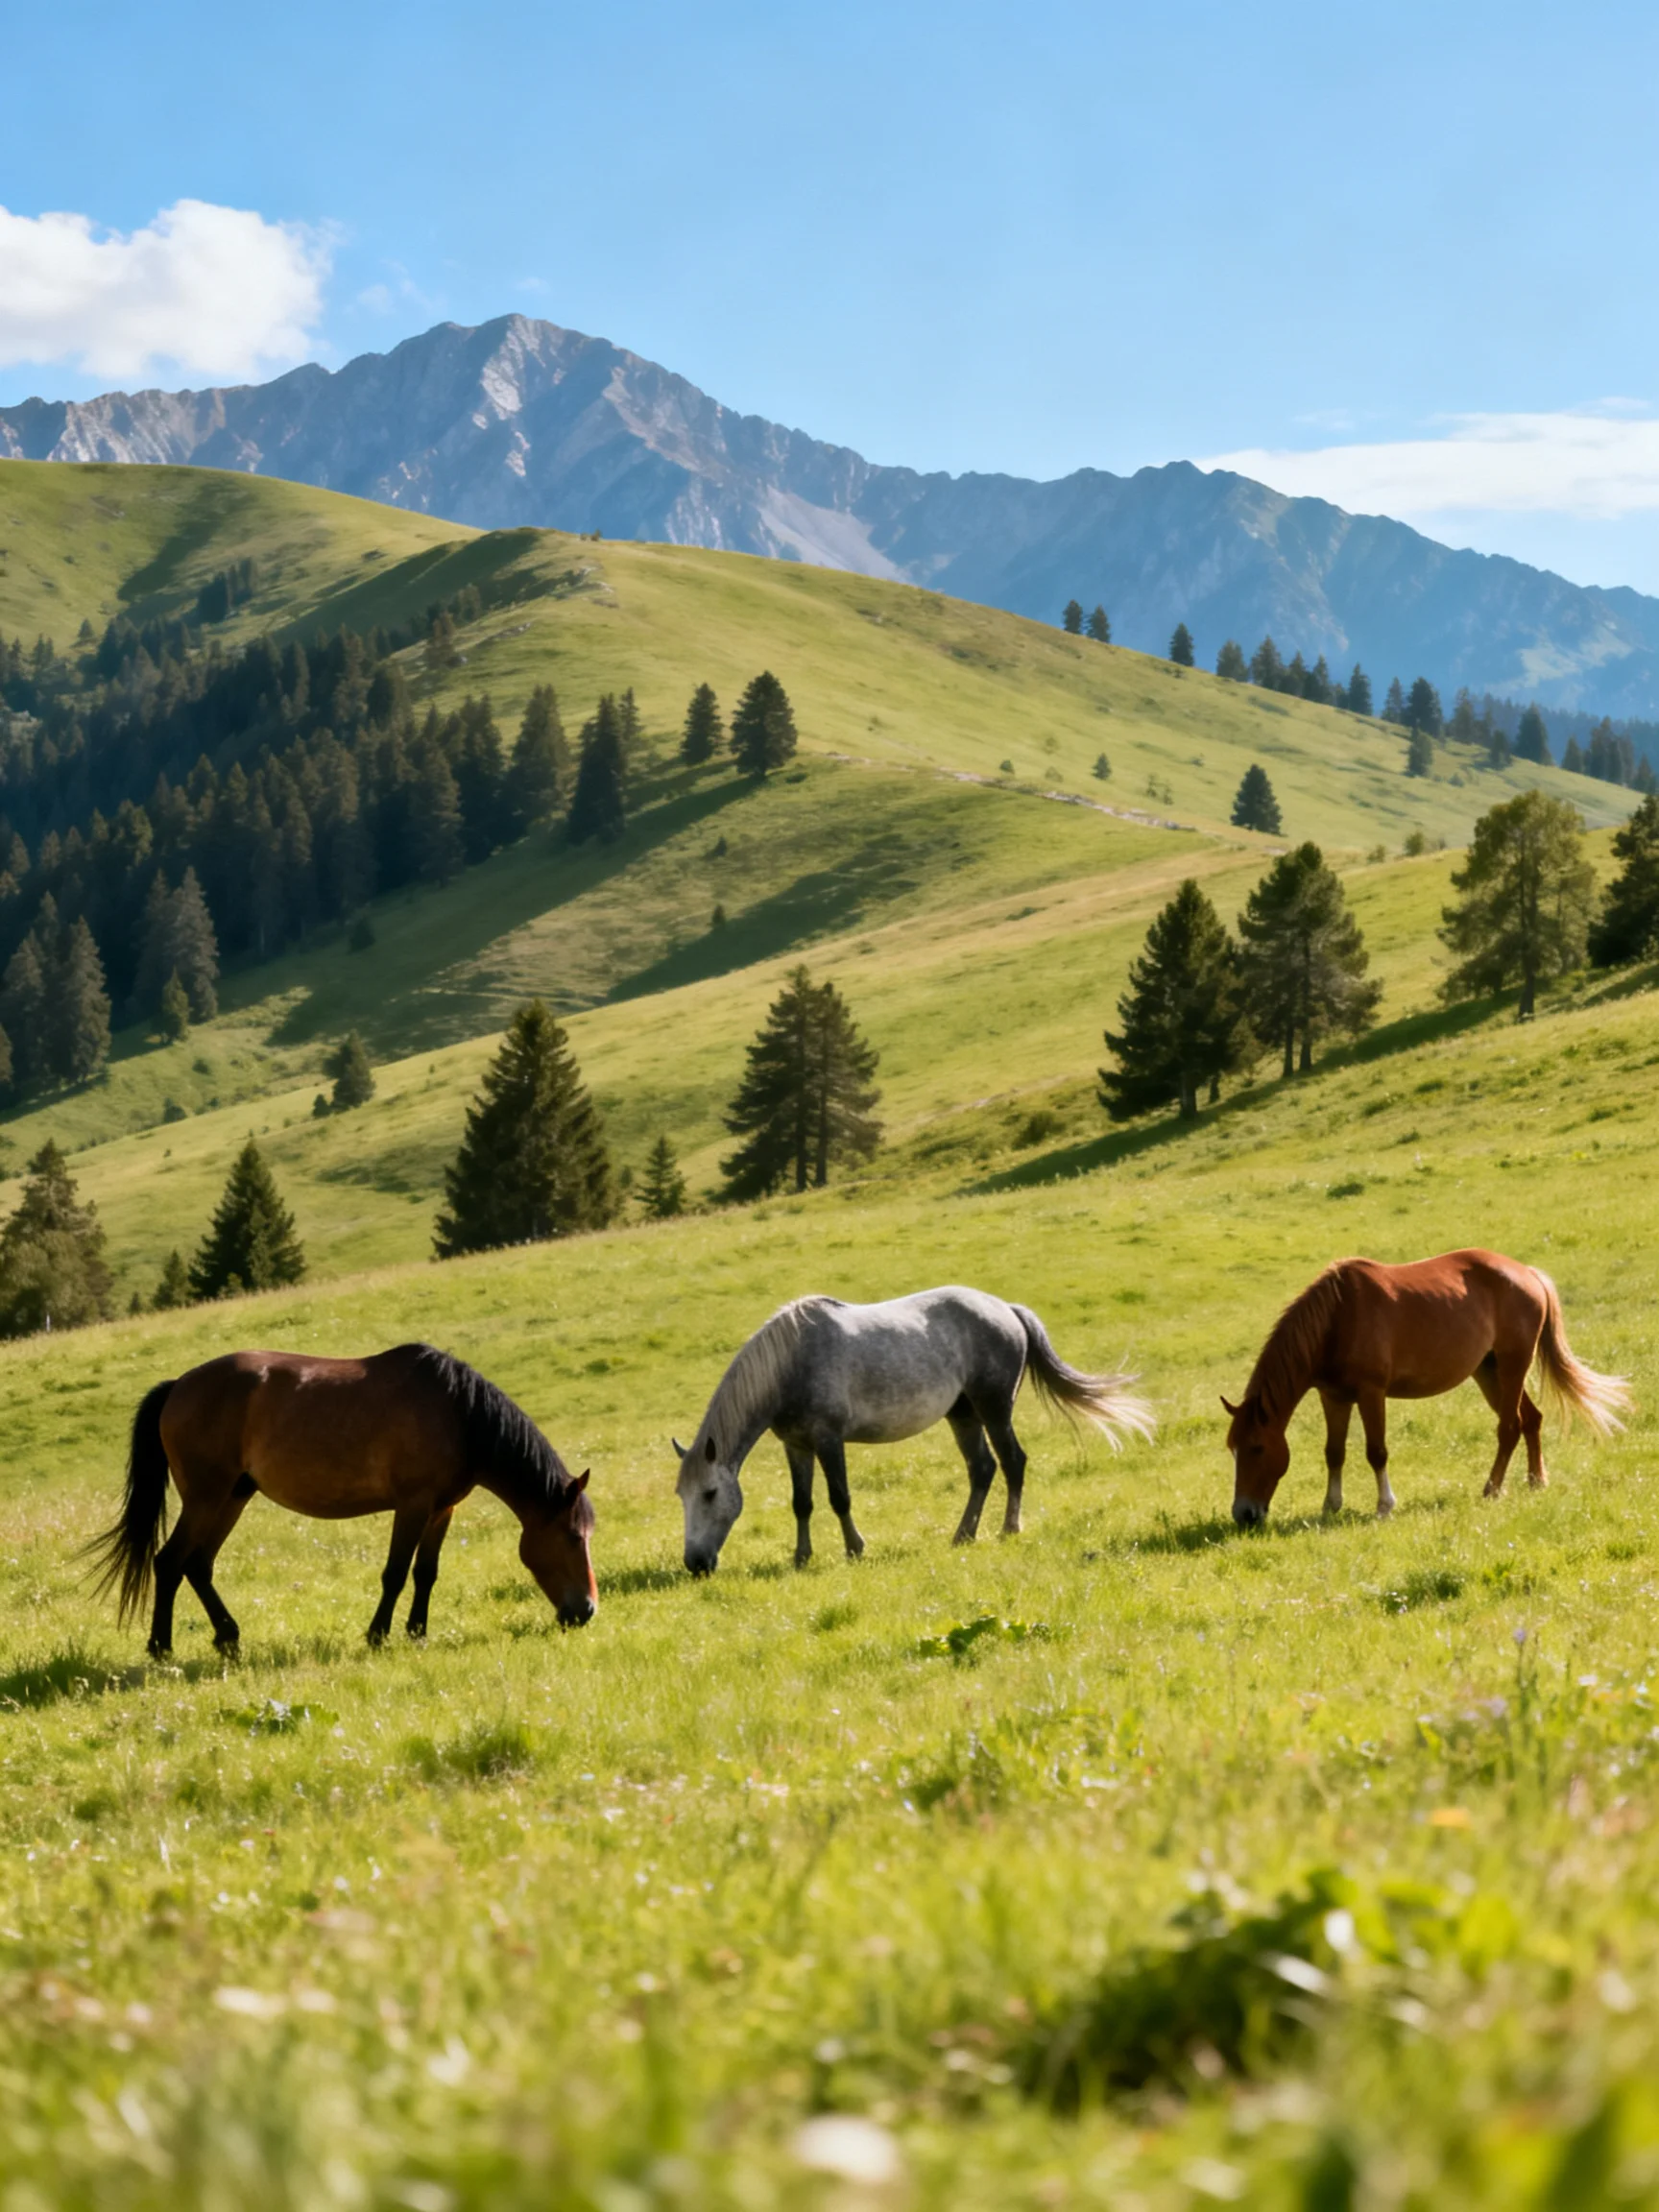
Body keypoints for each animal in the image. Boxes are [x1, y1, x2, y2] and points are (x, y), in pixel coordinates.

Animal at [85, 1343, 597, 1656]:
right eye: (573, 1537)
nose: (587, 1611)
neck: (459, 1414)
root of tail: (177, 1387)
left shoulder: (442, 1509)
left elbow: (425, 1574)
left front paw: (417, 1632)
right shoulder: (412, 1504)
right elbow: (395, 1573)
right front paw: (377, 1635)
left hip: (233, 1496)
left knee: (198, 1565)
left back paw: (228, 1637)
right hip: (205, 1497)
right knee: (170, 1562)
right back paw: (161, 1647)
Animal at [673, 1285, 1153, 1574]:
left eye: (710, 1494)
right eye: (682, 1495)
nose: (695, 1563)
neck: (790, 1363)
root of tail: (1006, 1309)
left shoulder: (829, 1440)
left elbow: (839, 1497)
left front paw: (855, 1549)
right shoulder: (797, 1446)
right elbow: (801, 1503)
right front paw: (801, 1557)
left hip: (994, 1409)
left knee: (1013, 1462)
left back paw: (1008, 1529)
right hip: (963, 1415)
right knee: (982, 1469)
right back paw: (963, 1536)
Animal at [1224, 1249, 1630, 1526]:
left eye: (1257, 1447)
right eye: (1233, 1449)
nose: (1244, 1513)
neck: (1336, 1320)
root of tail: (1527, 1273)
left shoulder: (1371, 1393)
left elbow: (1376, 1452)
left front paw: (1384, 1506)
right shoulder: (1333, 1397)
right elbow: (1334, 1452)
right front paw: (1330, 1505)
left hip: (1514, 1366)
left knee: (1510, 1427)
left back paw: (1492, 1489)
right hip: (1489, 1372)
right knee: (1531, 1420)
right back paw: (1536, 1481)